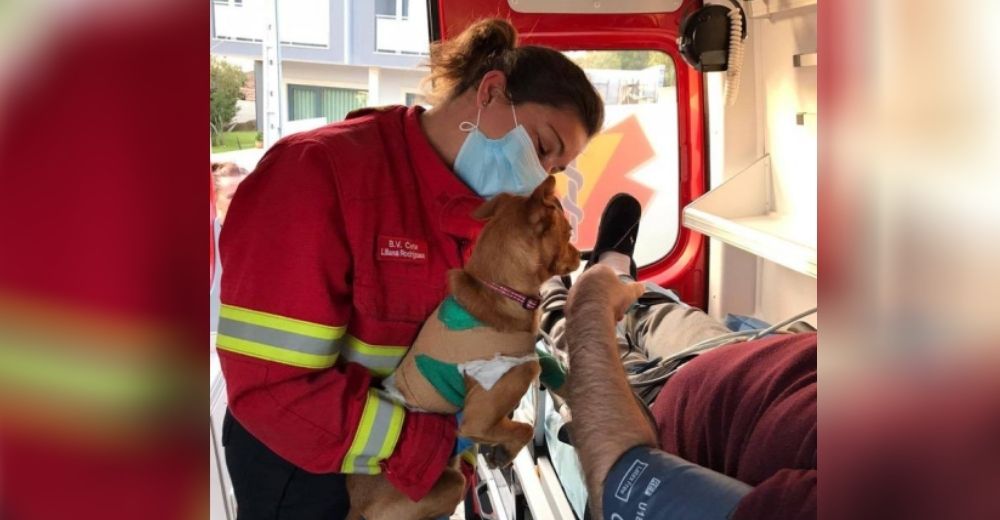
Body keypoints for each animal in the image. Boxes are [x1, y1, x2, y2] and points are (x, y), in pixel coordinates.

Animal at [348, 177, 584, 516]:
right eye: (568, 233)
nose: (580, 255)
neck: (499, 289)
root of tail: (353, 506)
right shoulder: (477, 418)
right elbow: (522, 428)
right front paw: (504, 451)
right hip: (451, 483)